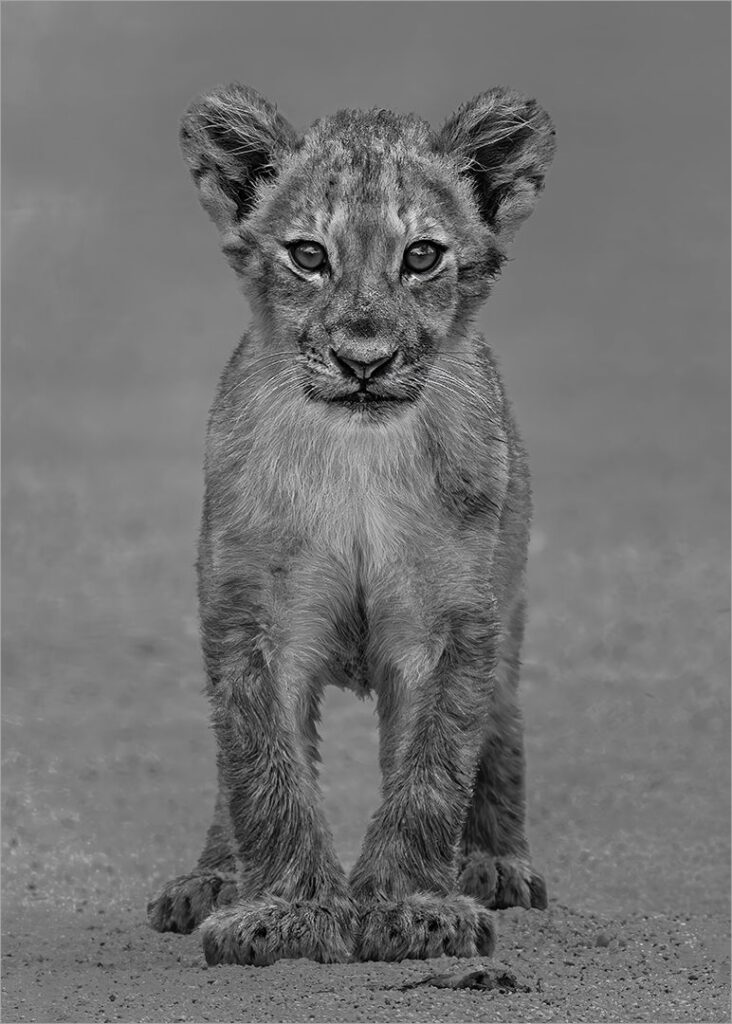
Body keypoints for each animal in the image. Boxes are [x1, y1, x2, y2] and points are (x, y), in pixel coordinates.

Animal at [147, 84, 555, 965]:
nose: (364, 361)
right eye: (309, 255)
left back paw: (495, 863)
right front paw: (284, 911)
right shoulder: (252, 615)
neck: (358, 459)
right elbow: (264, 774)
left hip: (508, 608)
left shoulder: (449, 621)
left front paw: (411, 907)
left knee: (502, 726)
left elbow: (433, 770)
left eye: (422, 257)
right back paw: (210, 879)